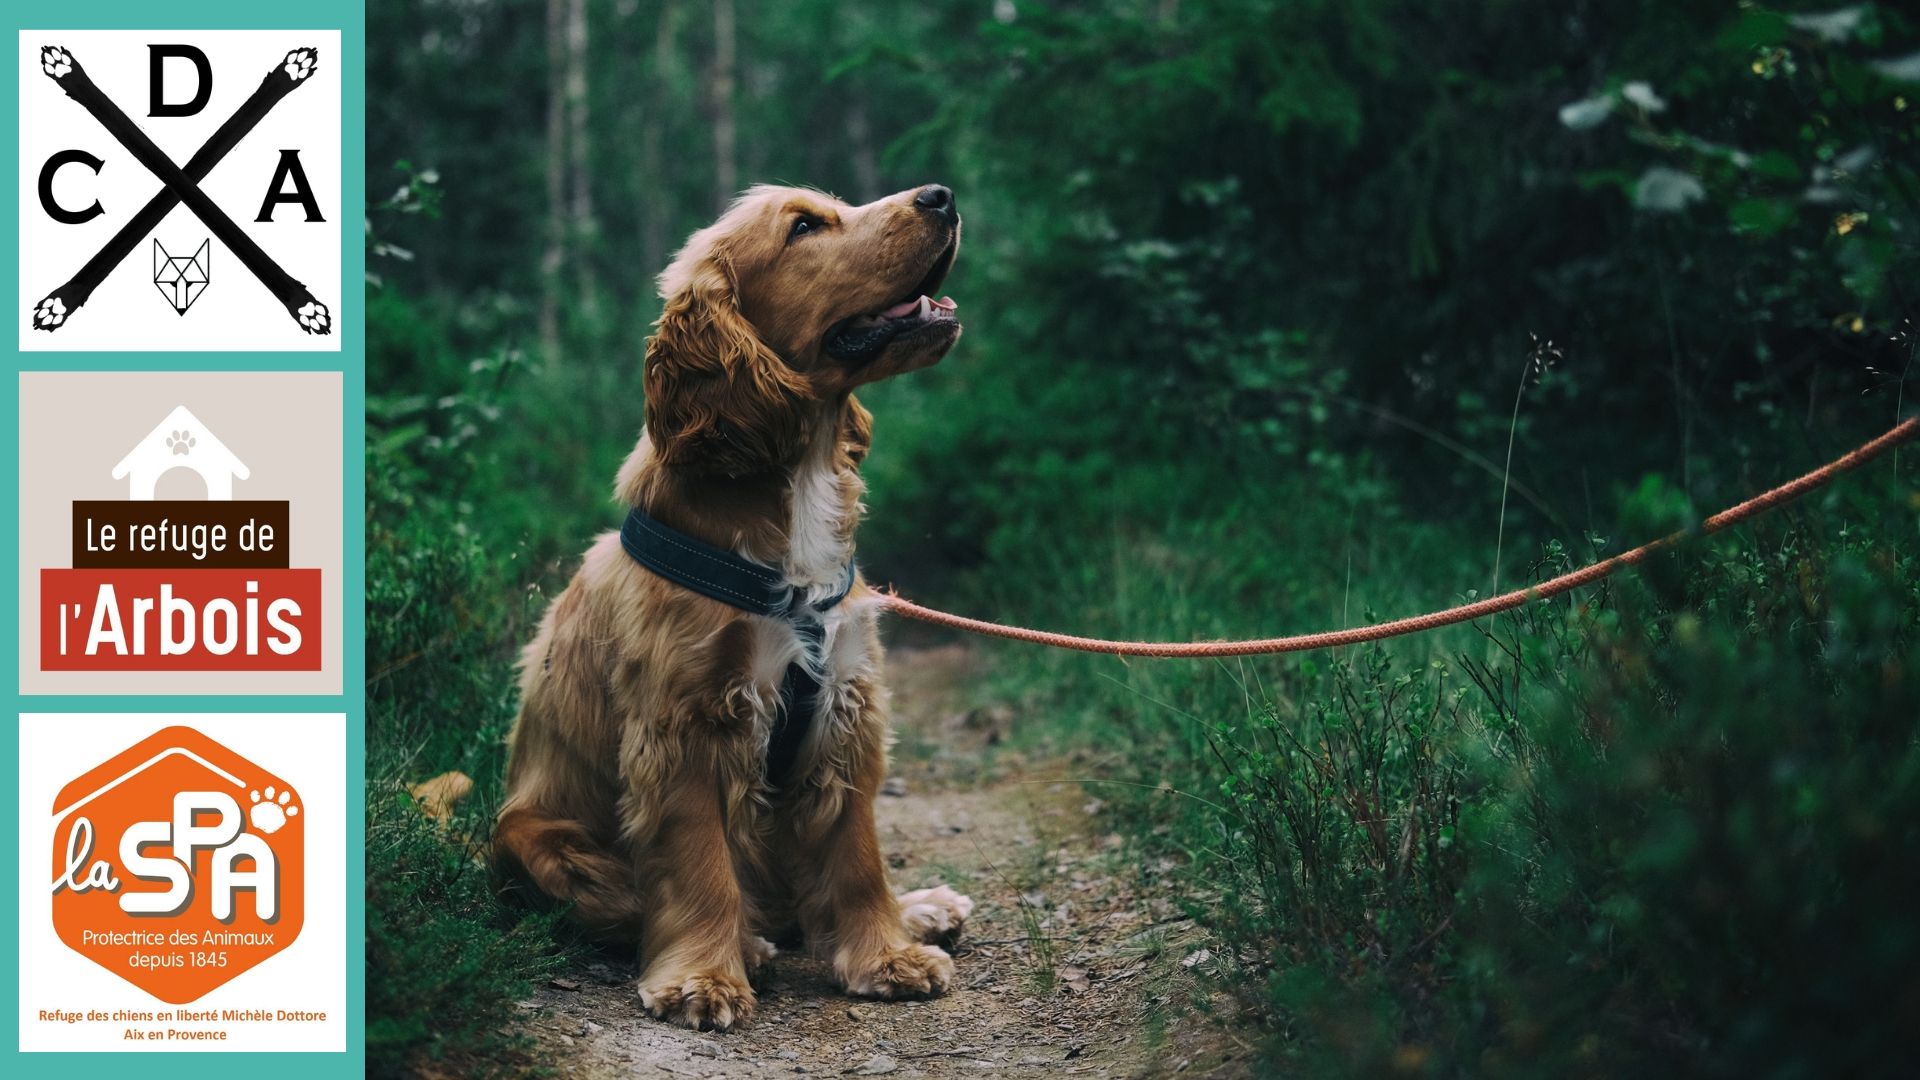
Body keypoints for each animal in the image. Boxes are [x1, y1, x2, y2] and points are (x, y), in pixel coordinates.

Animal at [495, 182, 975, 1022]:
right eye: (805, 226)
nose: (941, 195)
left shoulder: (845, 705)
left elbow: (856, 854)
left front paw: (886, 955)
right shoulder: (687, 723)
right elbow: (697, 863)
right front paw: (704, 978)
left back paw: (919, 909)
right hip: (536, 840)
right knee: (638, 903)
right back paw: (748, 944)